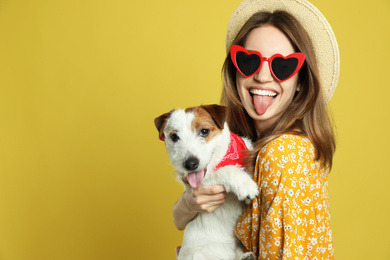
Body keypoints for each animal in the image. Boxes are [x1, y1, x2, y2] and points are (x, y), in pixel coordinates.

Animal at [154, 104, 258, 258]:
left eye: (204, 131)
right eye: (174, 137)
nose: (190, 164)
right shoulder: (201, 185)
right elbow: (225, 170)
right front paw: (245, 185)